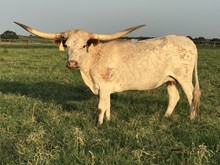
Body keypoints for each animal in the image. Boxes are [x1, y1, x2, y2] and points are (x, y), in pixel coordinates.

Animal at [14, 21, 200, 124]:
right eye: (66, 45)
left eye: (83, 45)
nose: (72, 63)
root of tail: (187, 40)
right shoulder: (106, 87)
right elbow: (108, 105)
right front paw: (109, 121)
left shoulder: (103, 86)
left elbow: (100, 107)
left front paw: (99, 124)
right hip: (170, 78)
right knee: (174, 96)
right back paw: (166, 116)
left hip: (184, 77)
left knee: (192, 95)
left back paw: (191, 118)